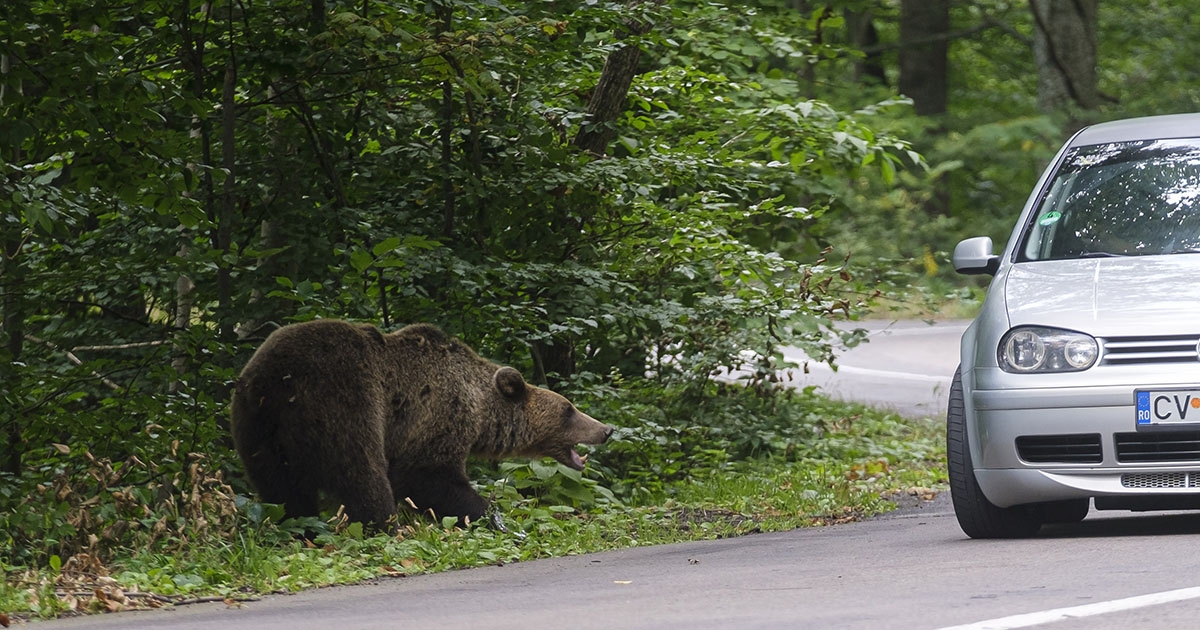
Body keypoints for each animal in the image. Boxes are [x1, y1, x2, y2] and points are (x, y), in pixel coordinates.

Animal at [230, 316, 614, 528]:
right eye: (569, 409)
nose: (606, 430)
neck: (480, 409)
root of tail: (275, 380)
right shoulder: (436, 415)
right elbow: (426, 475)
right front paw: (488, 515)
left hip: (258, 427)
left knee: (281, 487)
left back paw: (300, 525)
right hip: (344, 403)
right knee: (361, 472)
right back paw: (384, 525)